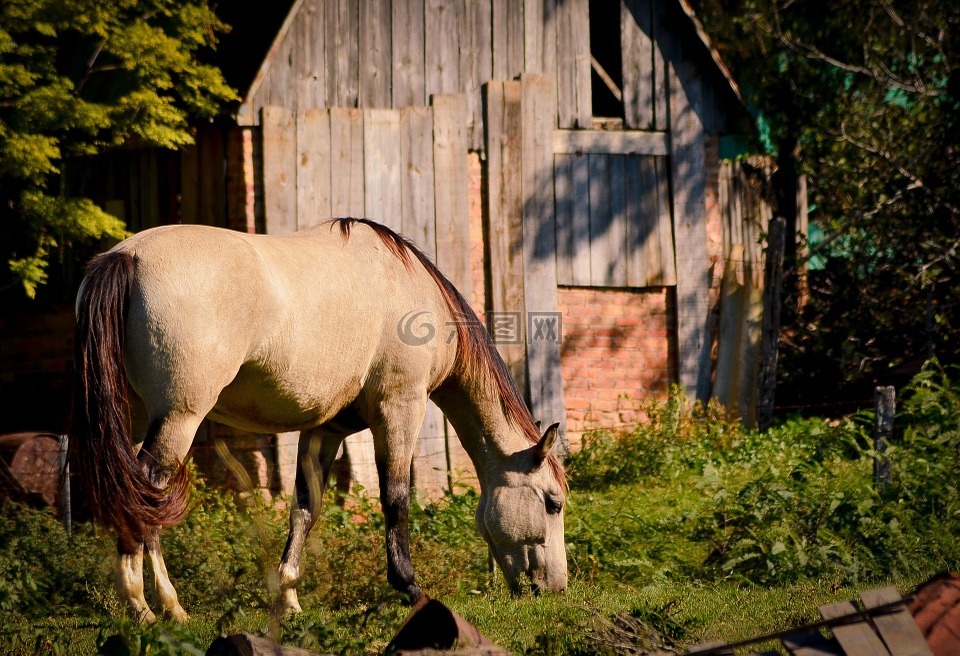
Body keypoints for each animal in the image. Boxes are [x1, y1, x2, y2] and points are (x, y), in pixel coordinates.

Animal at [71, 218, 567, 623]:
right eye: (553, 503)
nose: (557, 589)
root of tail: (125, 257)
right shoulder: (400, 408)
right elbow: (396, 499)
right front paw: (410, 588)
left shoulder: (324, 431)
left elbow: (304, 508)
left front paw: (288, 599)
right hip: (179, 420)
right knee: (145, 496)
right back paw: (150, 607)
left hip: (141, 420)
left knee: (140, 496)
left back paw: (162, 606)